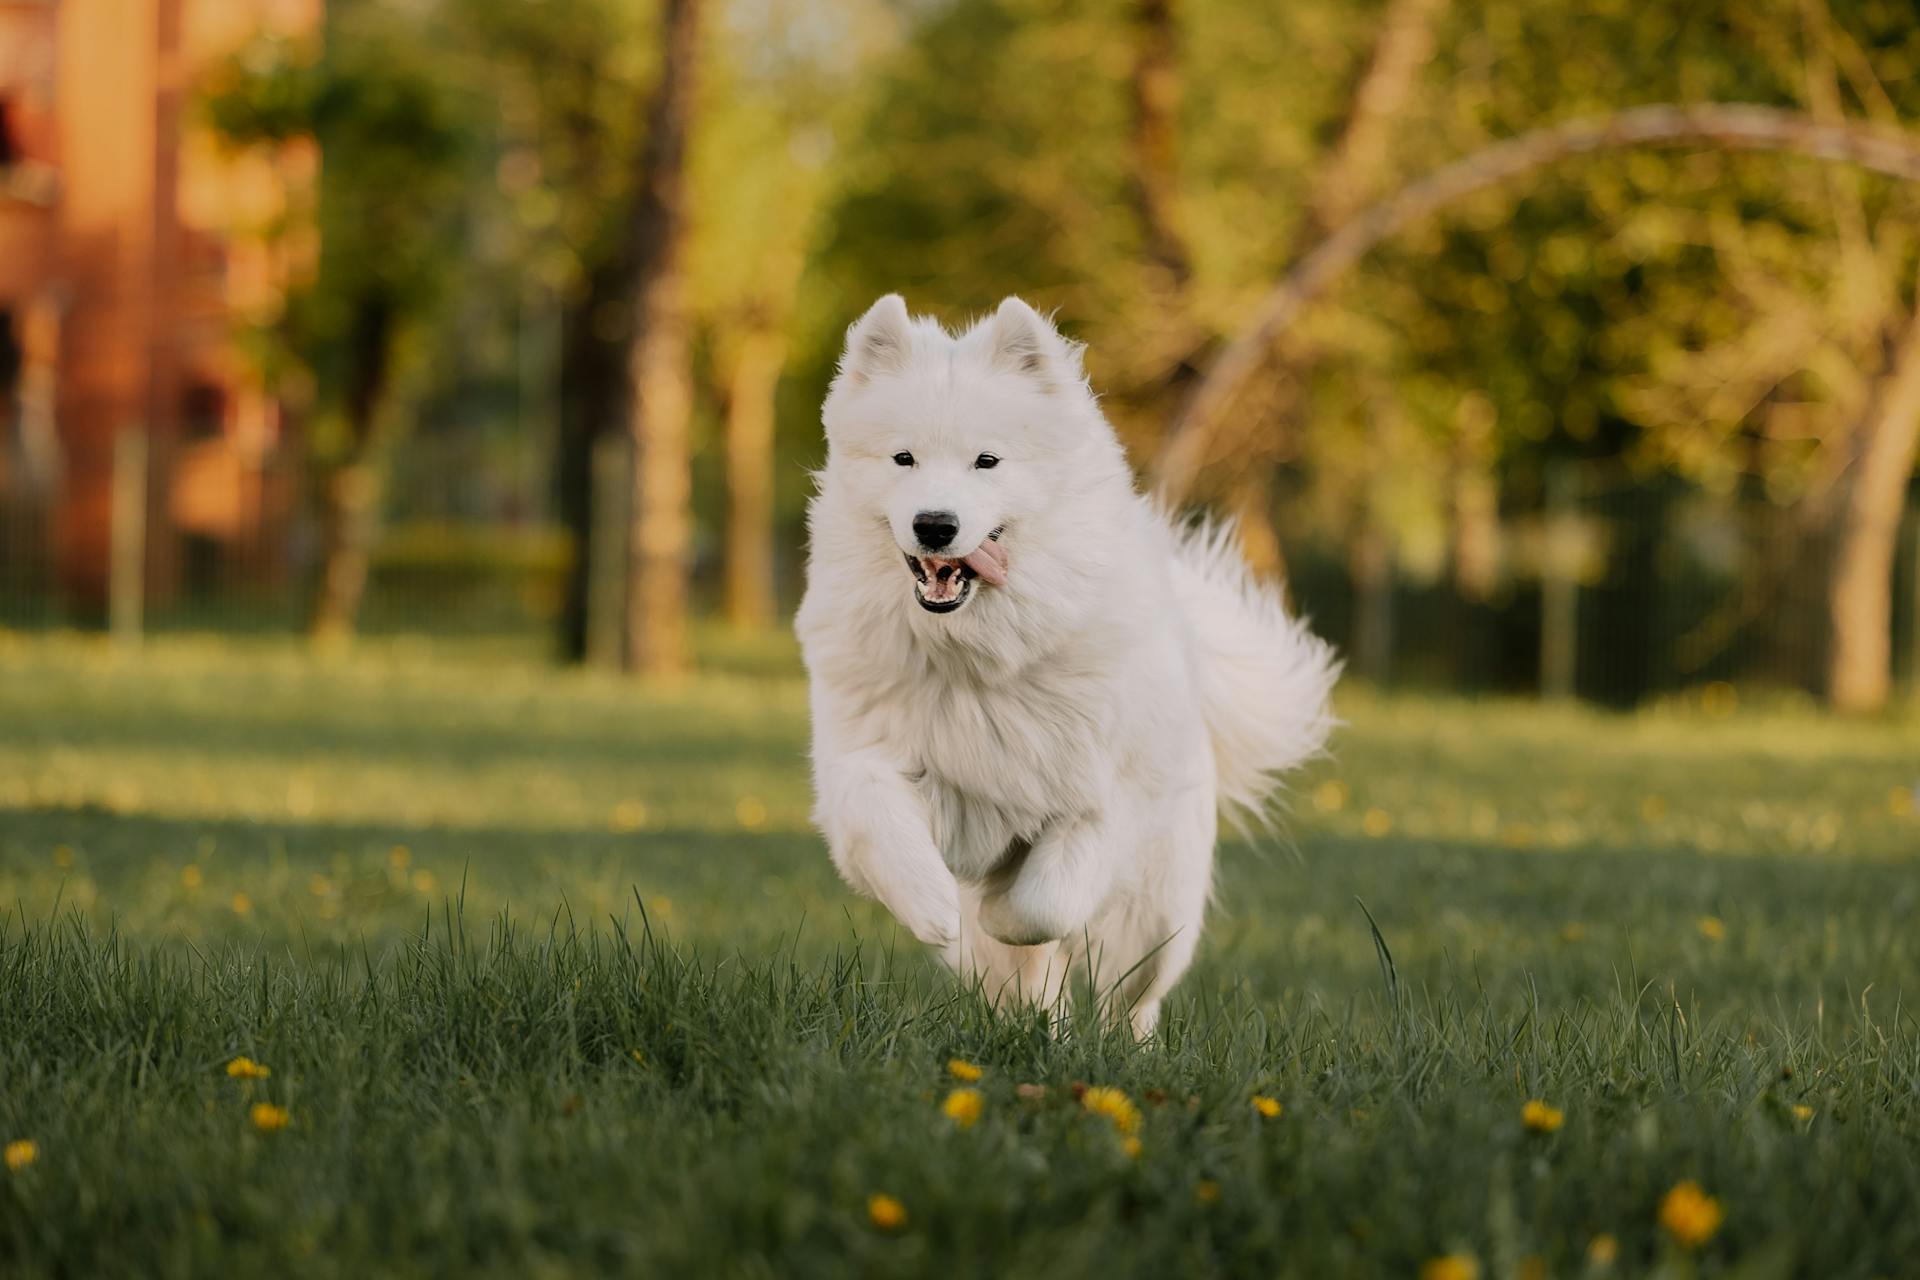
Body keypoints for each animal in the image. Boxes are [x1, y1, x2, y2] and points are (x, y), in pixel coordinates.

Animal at [794, 295, 1336, 1036]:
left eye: (987, 461)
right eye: (903, 458)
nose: (935, 525)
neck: (976, 660)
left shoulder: (1098, 805)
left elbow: (1039, 906)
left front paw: (1001, 909)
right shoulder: (863, 761)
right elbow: (889, 834)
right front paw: (934, 908)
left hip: (1157, 913)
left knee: (1129, 999)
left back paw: (1117, 1050)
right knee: (1027, 987)